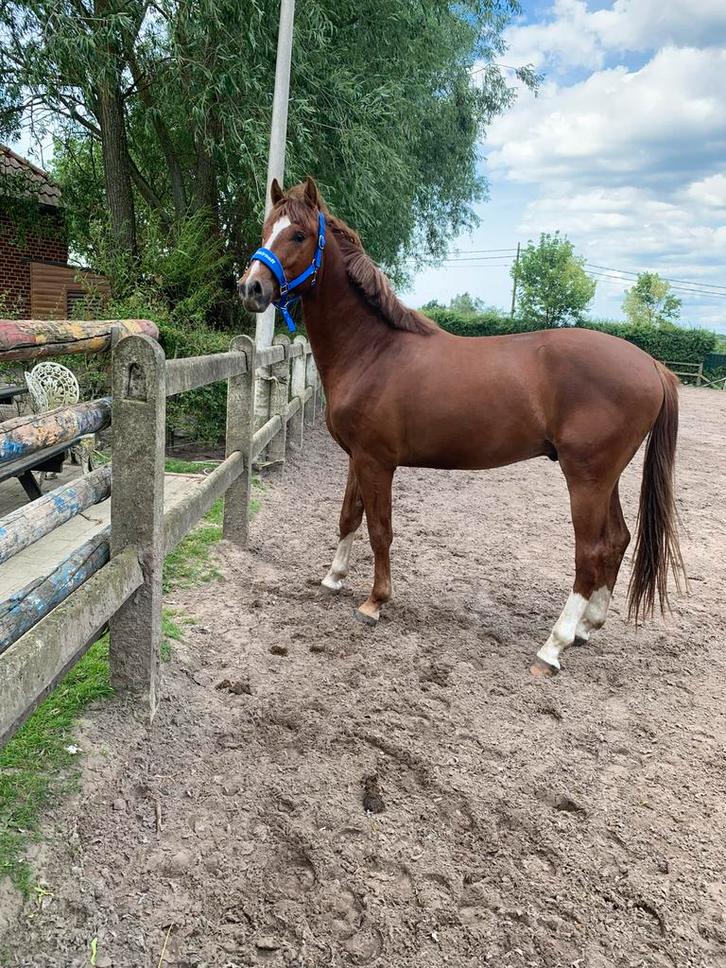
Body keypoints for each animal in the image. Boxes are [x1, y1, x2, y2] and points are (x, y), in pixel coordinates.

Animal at [238, 177, 686, 676]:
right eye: (267, 228)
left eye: (297, 235)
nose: (251, 287)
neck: (373, 350)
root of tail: (651, 365)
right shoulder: (358, 457)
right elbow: (349, 516)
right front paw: (334, 578)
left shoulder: (377, 462)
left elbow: (380, 528)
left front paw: (375, 602)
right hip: (606, 478)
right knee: (617, 540)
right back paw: (588, 627)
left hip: (587, 478)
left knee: (590, 552)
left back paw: (553, 646)